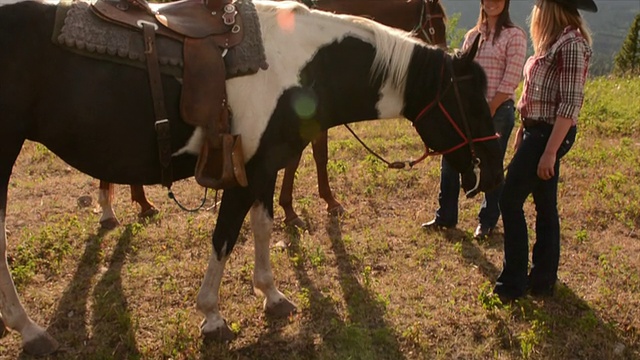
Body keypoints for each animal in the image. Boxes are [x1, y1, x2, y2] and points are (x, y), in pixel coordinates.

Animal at [97, 0, 448, 231]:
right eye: (439, 20)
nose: (446, 52)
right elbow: (308, 156)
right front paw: (299, 208)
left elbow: (310, 155)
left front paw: (311, 203)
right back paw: (112, 211)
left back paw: (140, 203)